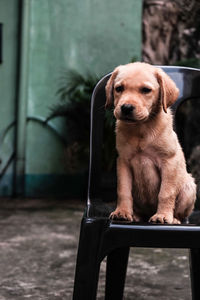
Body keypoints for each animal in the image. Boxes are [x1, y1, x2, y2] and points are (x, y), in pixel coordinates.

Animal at [105, 62, 196, 224]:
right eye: (119, 88)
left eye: (146, 90)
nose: (126, 108)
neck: (141, 129)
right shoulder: (123, 162)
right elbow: (123, 190)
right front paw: (122, 212)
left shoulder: (169, 162)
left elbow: (166, 192)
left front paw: (163, 215)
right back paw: (135, 215)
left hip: (189, 187)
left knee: (181, 213)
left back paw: (174, 219)